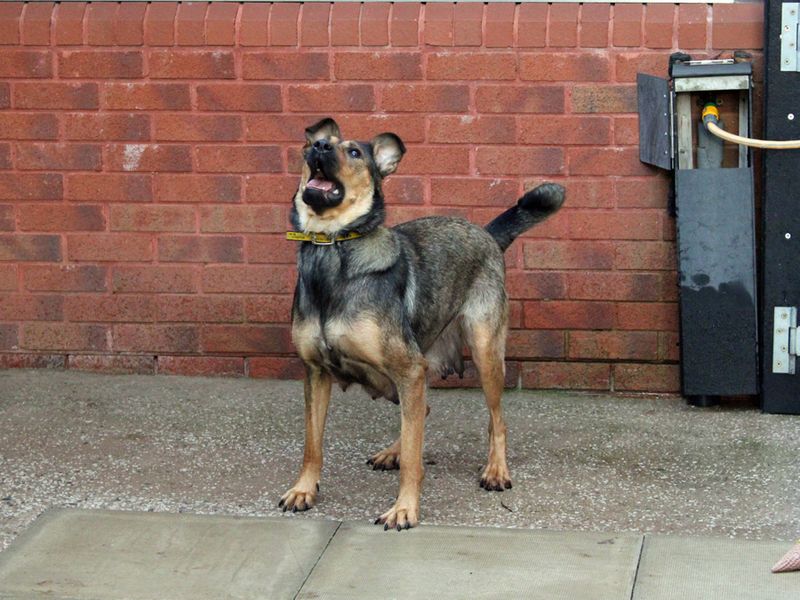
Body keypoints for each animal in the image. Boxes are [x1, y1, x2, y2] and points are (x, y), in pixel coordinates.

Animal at [278, 117, 564, 528]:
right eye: (313, 145)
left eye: (354, 152)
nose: (318, 148)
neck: (332, 247)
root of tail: (486, 234)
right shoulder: (316, 373)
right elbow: (312, 444)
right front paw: (303, 490)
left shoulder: (409, 368)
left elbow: (415, 457)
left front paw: (404, 508)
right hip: (408, 374)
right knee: (421, 413)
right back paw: (392, 451)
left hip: (483, 353)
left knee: (496, 420)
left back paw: (496, 470)